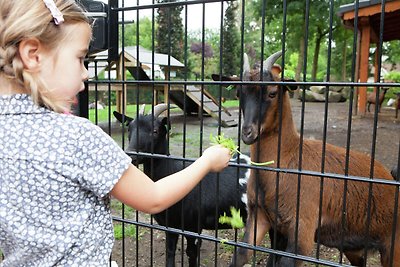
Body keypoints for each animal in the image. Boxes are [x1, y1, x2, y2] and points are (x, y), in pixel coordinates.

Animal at [113, 105, 250, 267]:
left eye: (155, 130)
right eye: (129, 129)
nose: (131, 155)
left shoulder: (193, 226)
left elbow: (191, 253)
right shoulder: (170, 226)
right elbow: (170, 251)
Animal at [211, 51, 398, 266]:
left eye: (272, 93)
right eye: (238, 94)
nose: (248, 132)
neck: (289, 159)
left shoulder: (303, 231)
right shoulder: (262, 217)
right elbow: (242, 254)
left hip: (393, 244)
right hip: (353, 247)